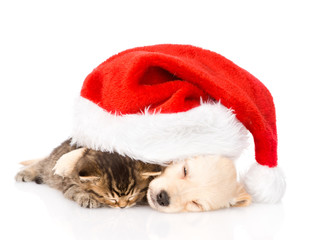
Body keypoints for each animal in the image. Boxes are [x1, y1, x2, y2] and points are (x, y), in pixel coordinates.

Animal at [15, 139, 163, 208]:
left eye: (132, 196)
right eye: (111, 199)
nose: (122, 207)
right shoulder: (67, 182)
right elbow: (75, 189)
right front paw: (87, 198)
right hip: (53, 163)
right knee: (42, 164)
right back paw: (24, 173)